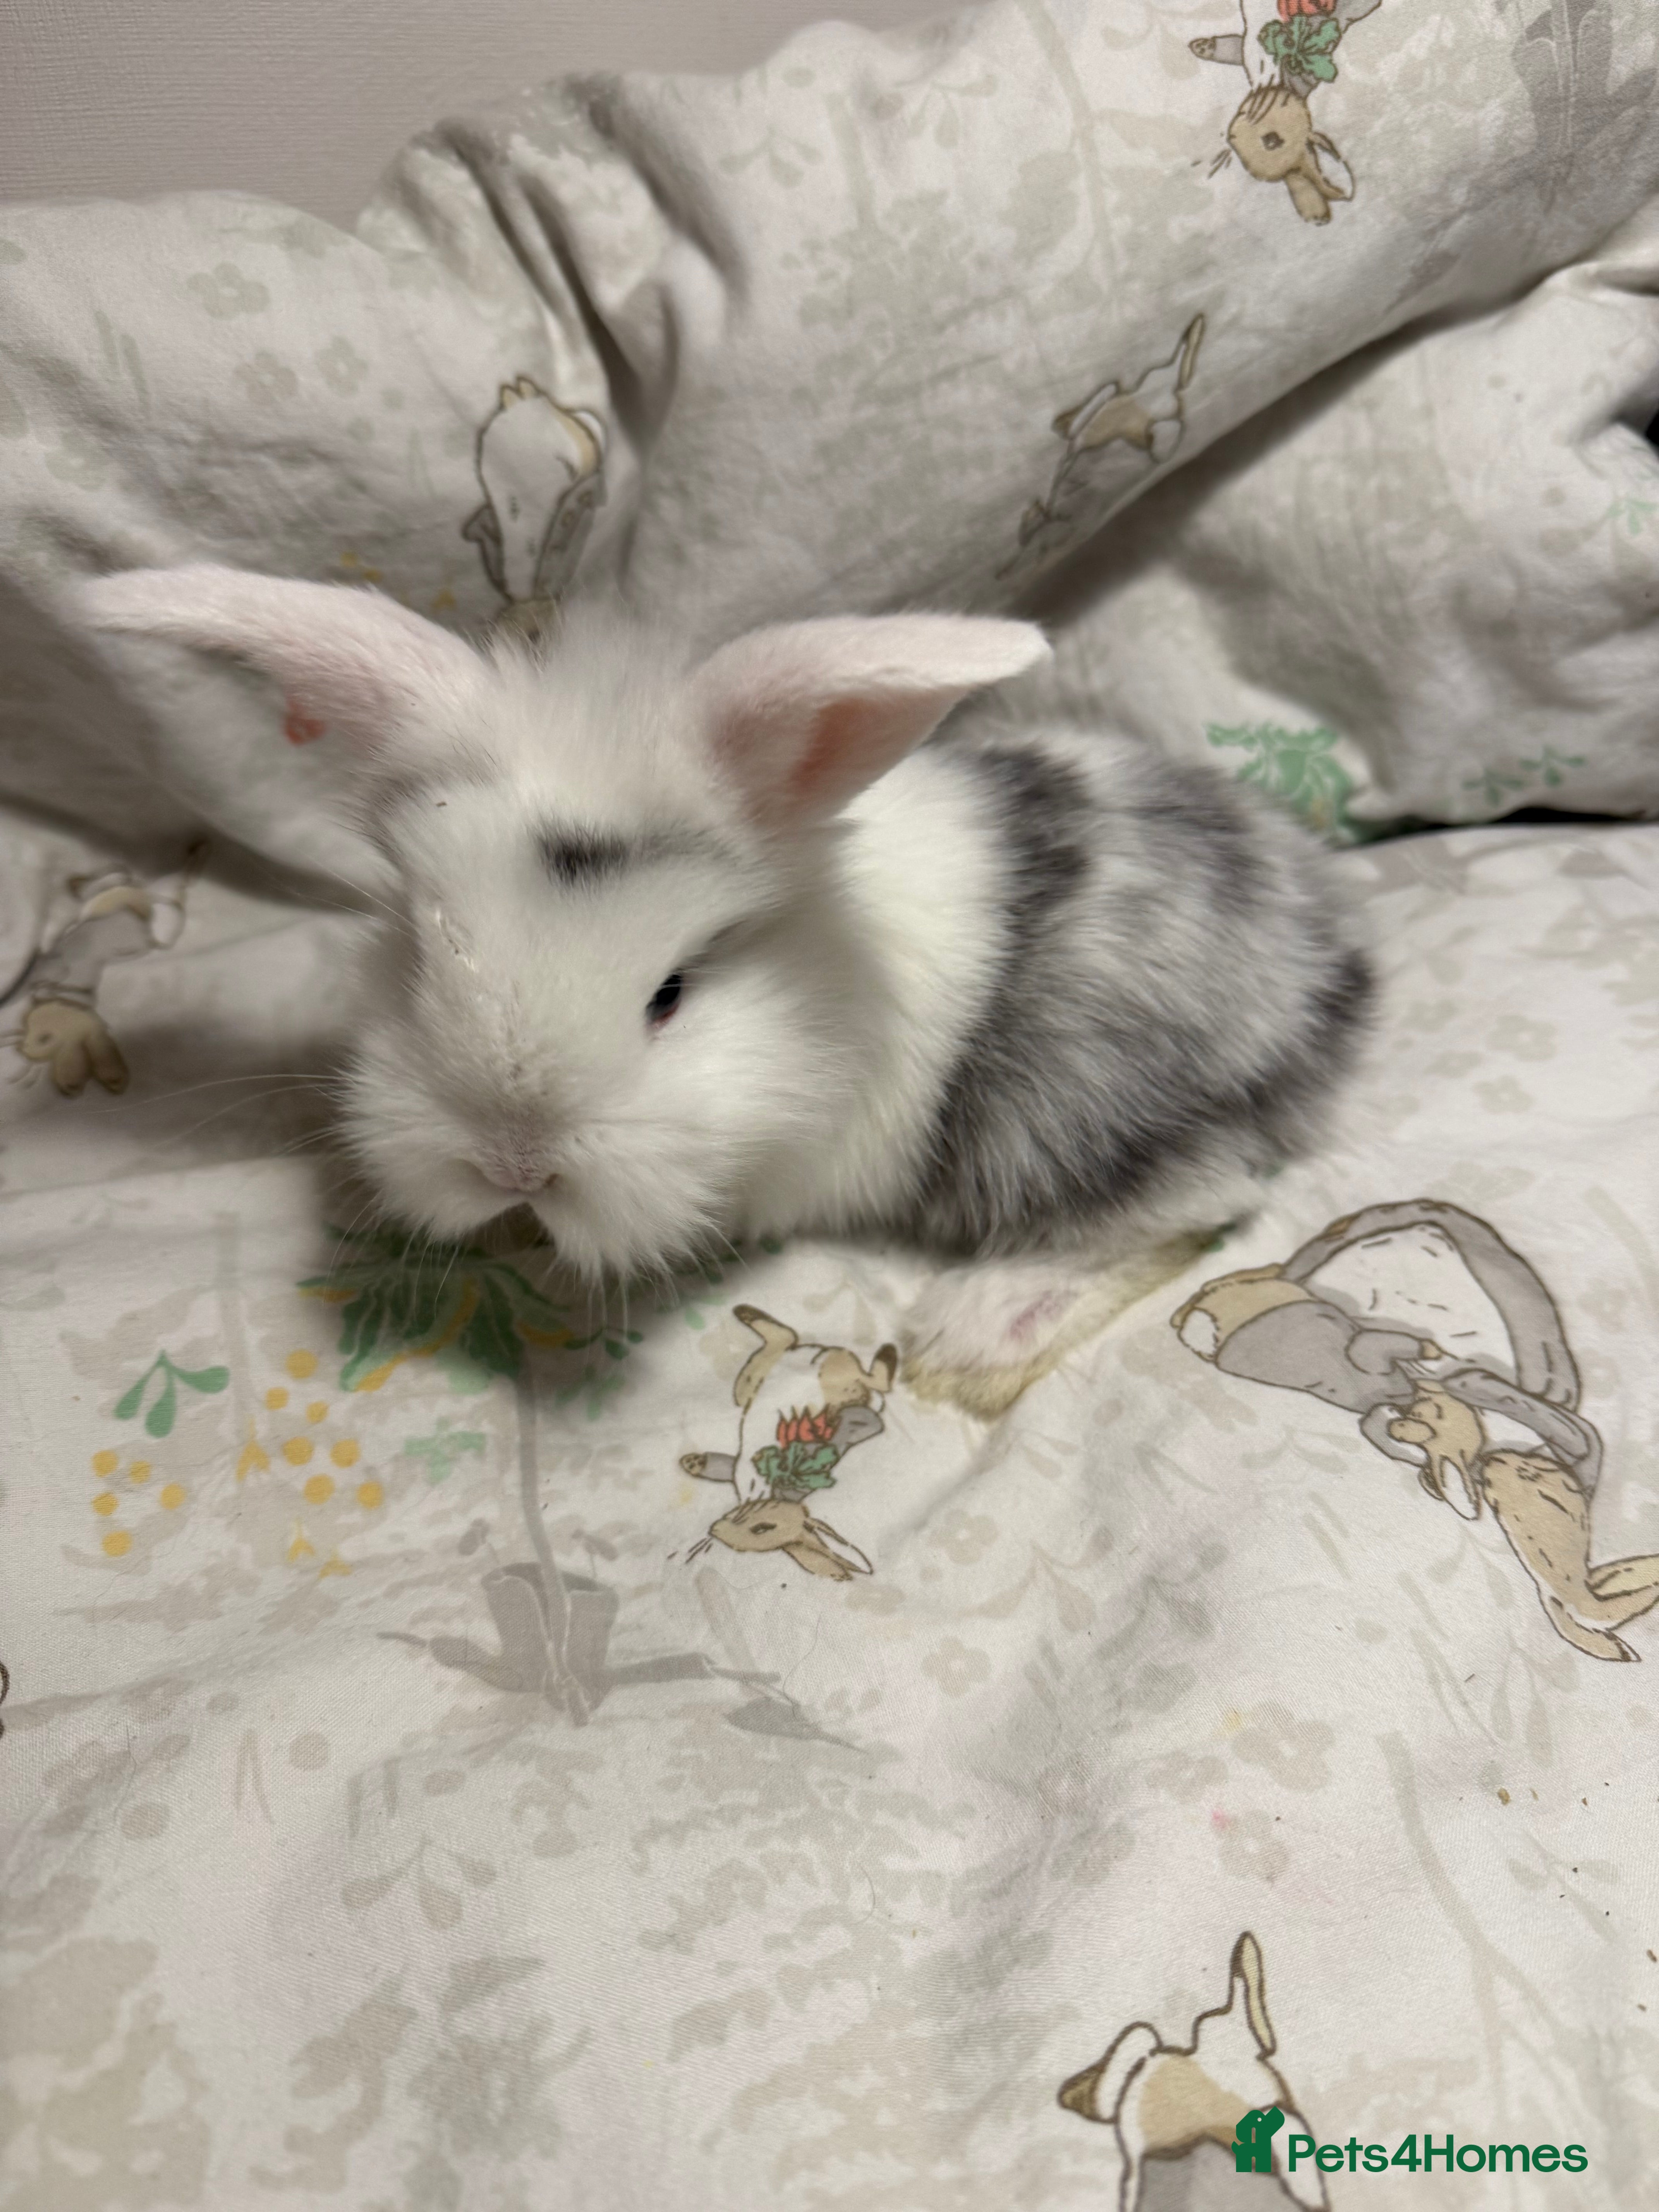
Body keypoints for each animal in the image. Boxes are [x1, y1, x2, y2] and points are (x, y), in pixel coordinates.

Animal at [75, 565, 1370, 1406]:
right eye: (419, 948)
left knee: (1196, 1202)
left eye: (671, 993)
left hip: (1066, 1103)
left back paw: (969, 1340)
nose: (513, 1163)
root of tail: (1333, 965)